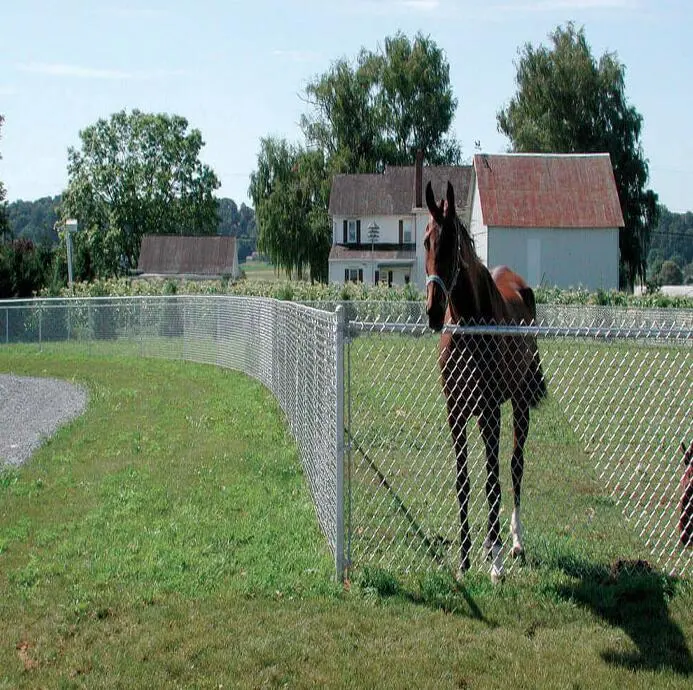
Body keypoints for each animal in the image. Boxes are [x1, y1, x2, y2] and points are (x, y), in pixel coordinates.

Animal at [422, 179, 548, 580]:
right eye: (426, 241)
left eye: (453, 244)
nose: (433, 312)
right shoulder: (456, 411)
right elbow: (463, 481)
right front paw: (464, 557)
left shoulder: (490, 410)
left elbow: (493, 480)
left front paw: (494, 560)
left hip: (518, 404)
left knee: (515, 466)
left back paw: (514, 542)